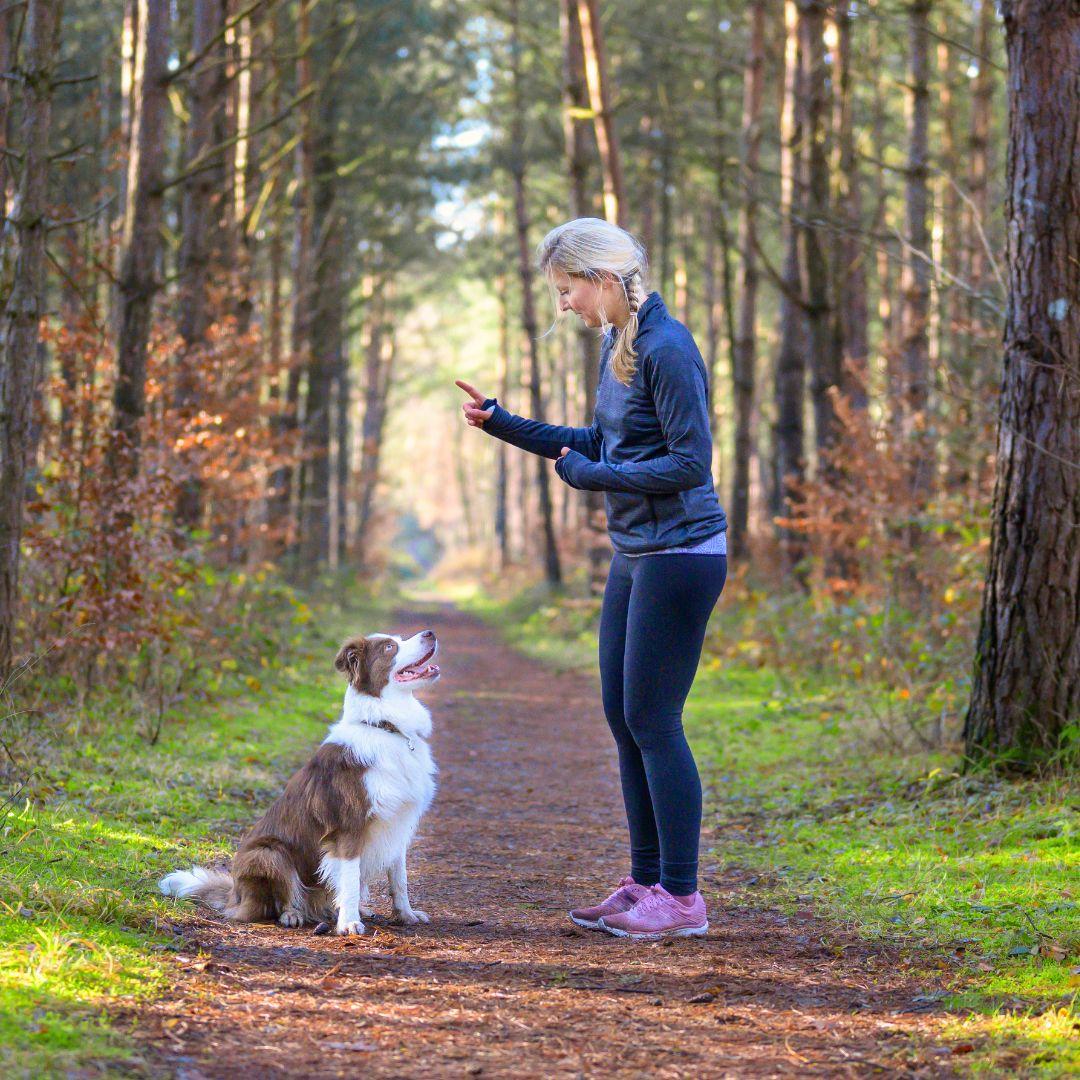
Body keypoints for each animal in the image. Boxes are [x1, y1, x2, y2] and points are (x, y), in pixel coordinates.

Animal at [155, 630, 438, 933]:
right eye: (389, 647)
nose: (429, 633)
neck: (386, 726)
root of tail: (234, 894)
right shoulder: (348, 827)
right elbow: (350, 880)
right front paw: (349, 923)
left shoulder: (398, 823)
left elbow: (400, 879)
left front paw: (405, 914)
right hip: (268, 852)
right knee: (278, 899)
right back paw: (293, 914)